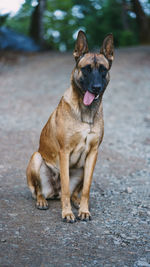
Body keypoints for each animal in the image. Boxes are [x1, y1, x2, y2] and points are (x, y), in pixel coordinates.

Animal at [26, 30, 113, 224]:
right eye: (86, 69)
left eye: (103, 70)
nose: (96, 88)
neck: (85, 112)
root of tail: (53, 192)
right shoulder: (64, 152)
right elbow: (65, 187)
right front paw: (67, 213)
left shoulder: (93, 153)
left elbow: (86, 189)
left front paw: (83, 210)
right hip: (36, 158)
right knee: (39, 191)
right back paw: (42, 201)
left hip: (82, 169)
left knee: (74, 192)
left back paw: (76, 202)